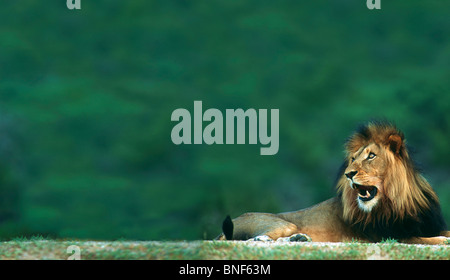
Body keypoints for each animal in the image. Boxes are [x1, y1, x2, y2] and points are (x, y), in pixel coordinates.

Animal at [218, 121, 450, 244]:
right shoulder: (387, 236)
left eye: (371, 156)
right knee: (254, 240)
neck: (400, 200)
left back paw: (300, 239)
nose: (348, 174)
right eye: (353, 158)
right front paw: (441, 241)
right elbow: (419, 239)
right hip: (281, 224)